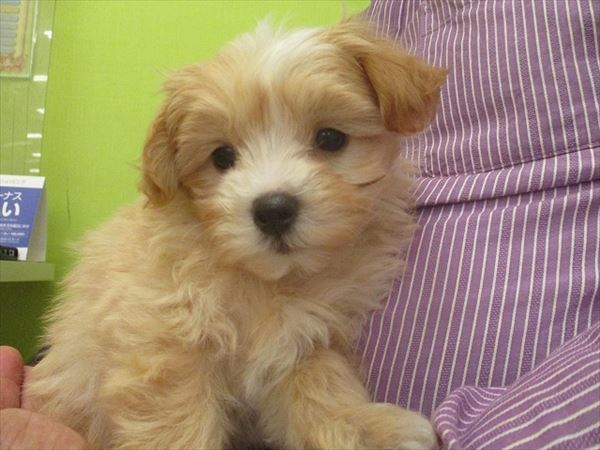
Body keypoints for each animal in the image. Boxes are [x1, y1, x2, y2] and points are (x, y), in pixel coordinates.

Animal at [26, 19, 446, 450]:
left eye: (331, 138)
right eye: (222, 157)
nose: (273, 210)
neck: (265, 282)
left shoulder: (299, 338)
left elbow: (321, 386)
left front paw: (366, 426)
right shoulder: (165, 341)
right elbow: (177, 422)